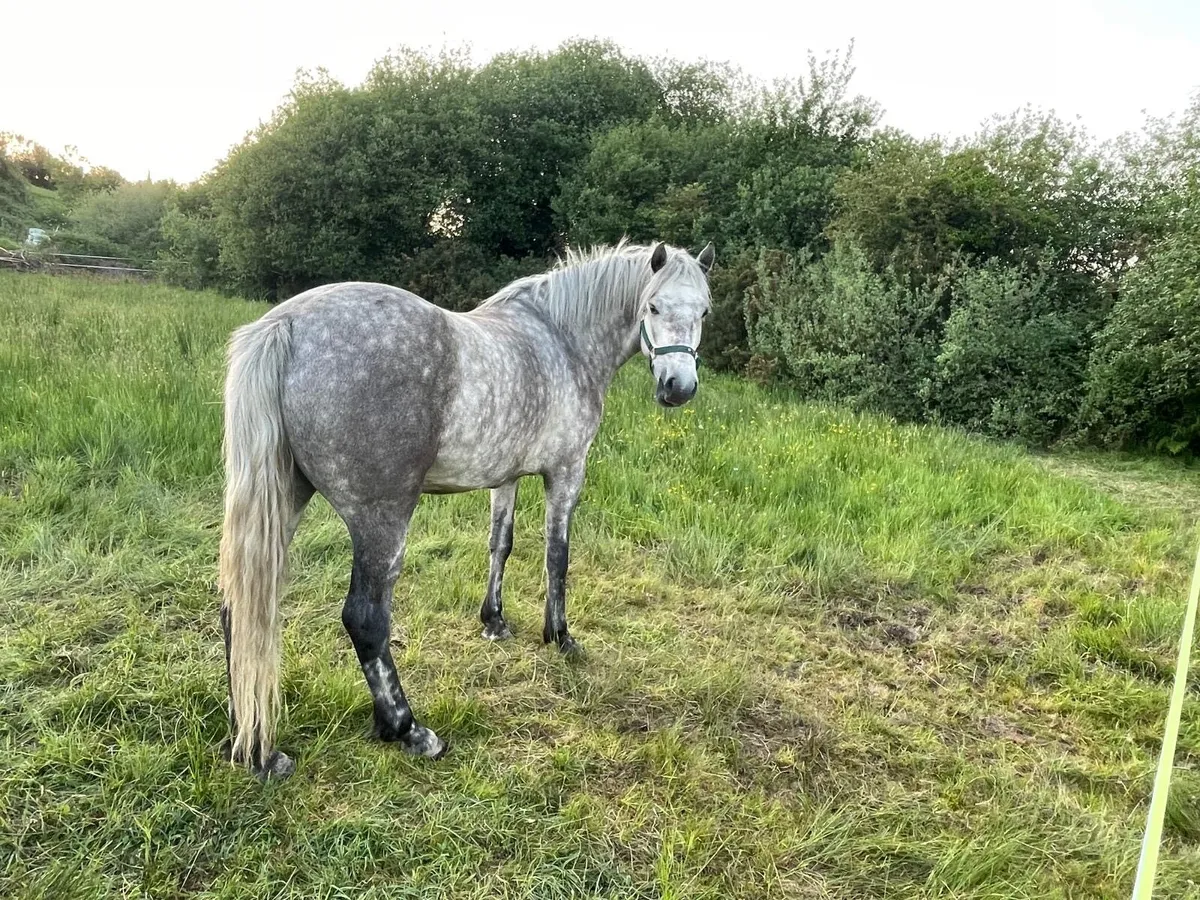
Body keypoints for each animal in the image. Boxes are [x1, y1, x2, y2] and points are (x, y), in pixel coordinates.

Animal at [219, 240, 714, 778]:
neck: (562, 341)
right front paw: (561, 637)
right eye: (653, 307)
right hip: (381, 519)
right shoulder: (566, 472)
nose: (678, 386)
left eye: (704, 311)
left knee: (238, 607)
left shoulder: (507, 478)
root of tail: (284, 326)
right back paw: (408, 730)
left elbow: (502, 543)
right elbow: (556, 555)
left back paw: (253, 748)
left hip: (286, 500)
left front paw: (494, 621)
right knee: (365, 618)